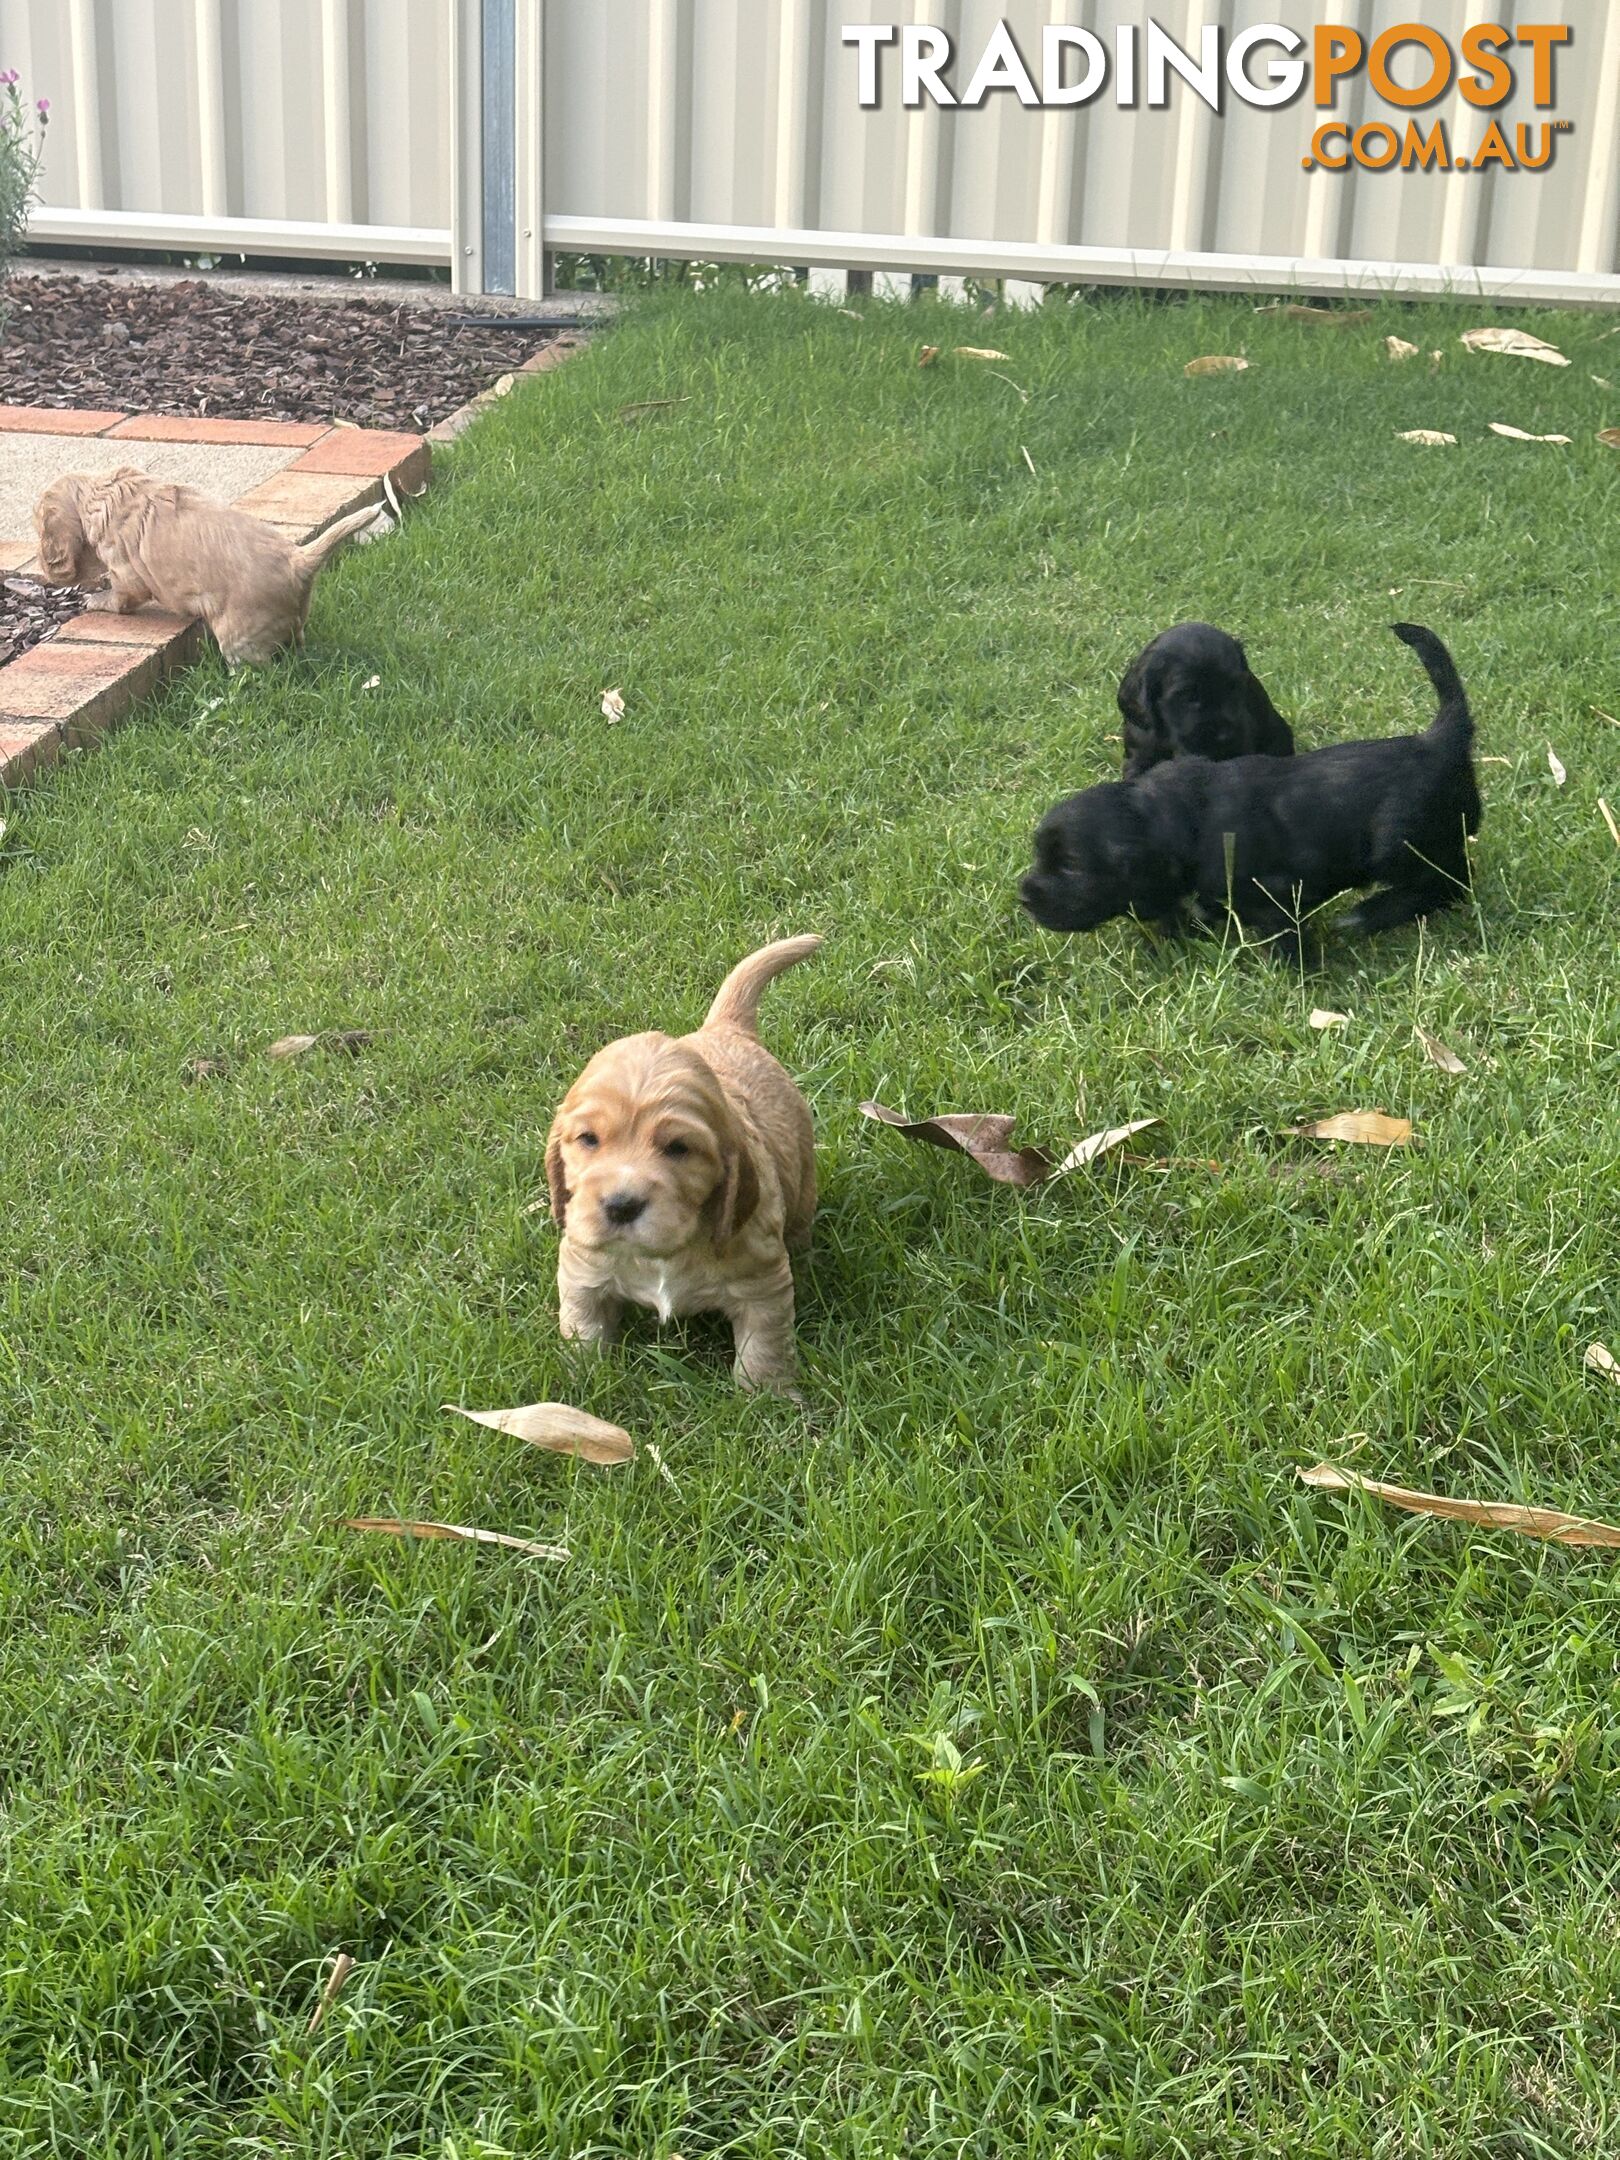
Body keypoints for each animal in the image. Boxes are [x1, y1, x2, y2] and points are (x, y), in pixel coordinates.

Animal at [548, 937, 825, 1391]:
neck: (663, 1254)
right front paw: (582, 1379)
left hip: (803, 1182)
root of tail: (724, 1029)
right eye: (588, 1140)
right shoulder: (581, 1267)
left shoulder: (762, 1282)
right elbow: (582, 1327)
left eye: (678, 1148)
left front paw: (768, 1396)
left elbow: (763, 1347)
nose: (621, 1205)